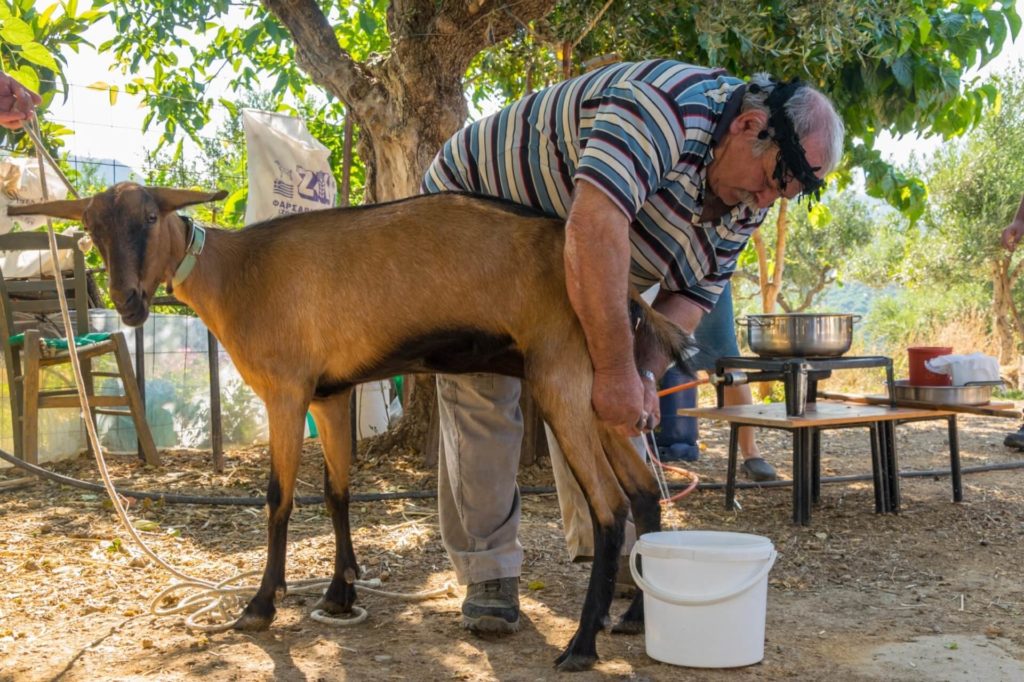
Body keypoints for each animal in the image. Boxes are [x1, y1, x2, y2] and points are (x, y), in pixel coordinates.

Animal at [9, 184, 688, 667]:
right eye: (93, 228)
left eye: (151, 218)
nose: (128, 303)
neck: (238, 272)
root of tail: (624, 293)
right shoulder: (330, 394)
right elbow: (337, 491)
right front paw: (341, 590)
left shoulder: (286, 390)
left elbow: (279, 497)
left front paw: (262, 604)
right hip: (601, 389)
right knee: (643, 492)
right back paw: (634, 617)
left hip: (560, 375)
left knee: (609, 507)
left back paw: (581, 646)